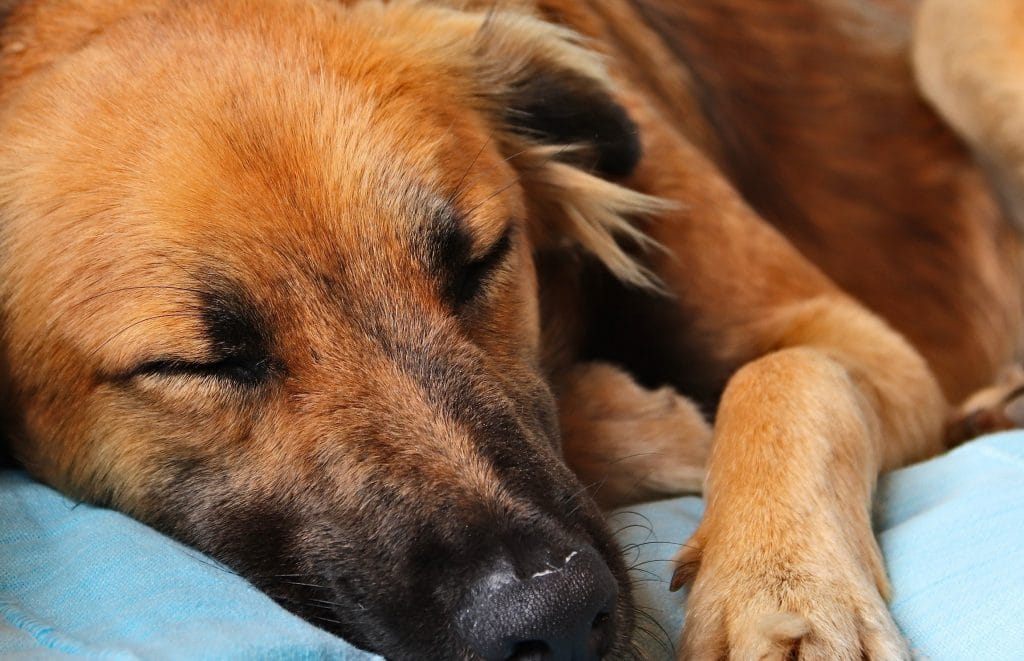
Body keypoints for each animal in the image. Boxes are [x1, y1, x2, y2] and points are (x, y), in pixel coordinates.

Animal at [0, 0, 1019, 658]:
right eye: (199, 363)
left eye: (481, 259)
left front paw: (786, 597)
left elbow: (788, 375)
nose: (555, 618)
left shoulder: (858, 338)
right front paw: (648, 426)